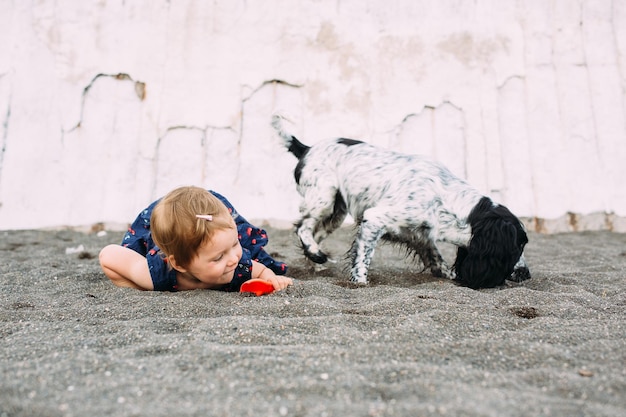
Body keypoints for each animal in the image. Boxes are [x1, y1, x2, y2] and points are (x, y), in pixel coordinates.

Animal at [270, 114, 528, 290]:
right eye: (519, 246)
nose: (526, 274)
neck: (447, 199)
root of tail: (307, 148)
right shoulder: (375, 219)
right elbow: (363, 258)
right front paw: (359, 282)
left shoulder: (420, 235)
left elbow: (437, 259)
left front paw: (450, 275)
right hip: (324, 199)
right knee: (302, 228)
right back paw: (317, 255)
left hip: (335, 213)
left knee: (314, 234)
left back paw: (318, 264)